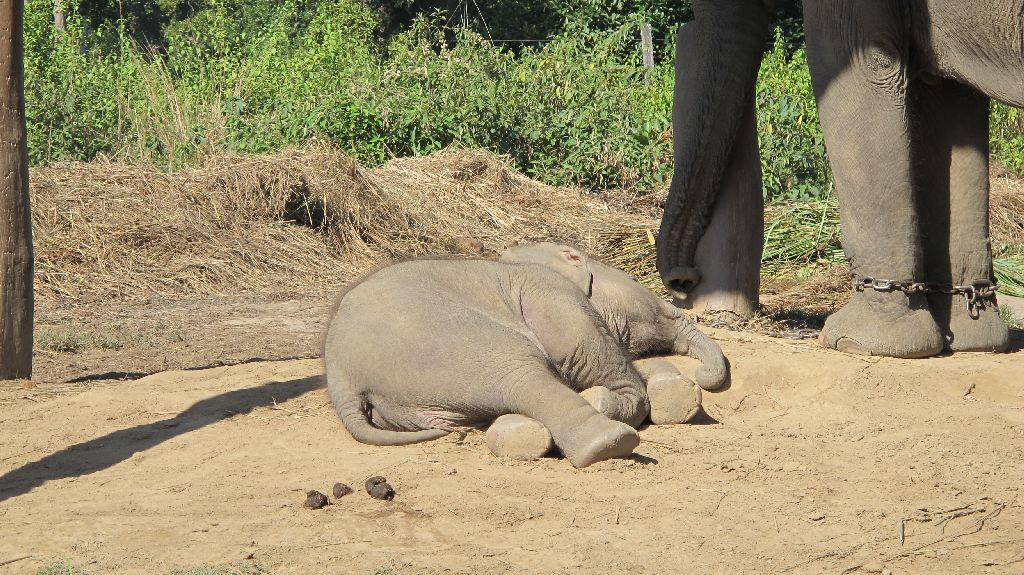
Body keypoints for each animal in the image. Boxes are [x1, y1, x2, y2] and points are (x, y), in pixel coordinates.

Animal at [323, 243, 727, 468]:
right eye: (657, 305)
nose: (705, 376)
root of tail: (341, 378)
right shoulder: (550, 293)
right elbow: (599, 363)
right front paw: (605, 399)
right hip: (454, 346)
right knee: (524, 379)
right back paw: (608, 442)